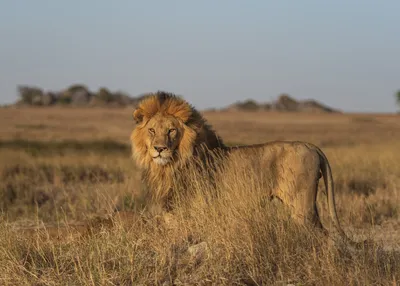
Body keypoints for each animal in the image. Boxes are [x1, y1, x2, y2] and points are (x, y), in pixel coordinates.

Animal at [132, 91, 356, 244]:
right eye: (152, 130)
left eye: (171, 130)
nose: (159, 149)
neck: (170, 166)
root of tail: (312, 146)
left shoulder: (197, 212)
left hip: (302, 207)